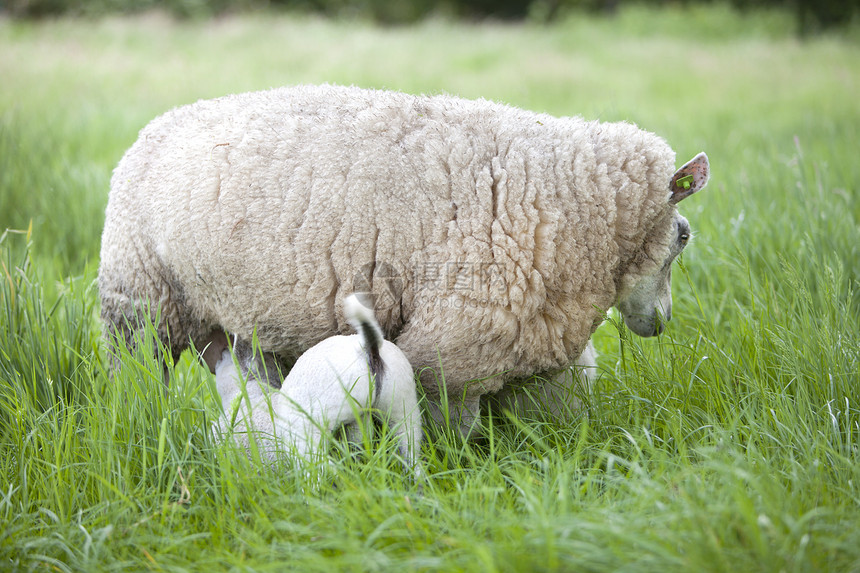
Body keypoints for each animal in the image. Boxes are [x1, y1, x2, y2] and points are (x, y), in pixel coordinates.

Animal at [99, 84, 712, 434]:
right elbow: (454, 435)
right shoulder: (457, 349)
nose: (662, 322)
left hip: (245, 323)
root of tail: (153, 127)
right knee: (134, 377)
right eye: (682, 236)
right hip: (138, 301)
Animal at [212, 292, 420, 476]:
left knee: (325, 474)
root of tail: (365, 349)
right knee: (411, 456)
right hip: (402, 408)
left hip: (305, 435)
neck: (252, 392)